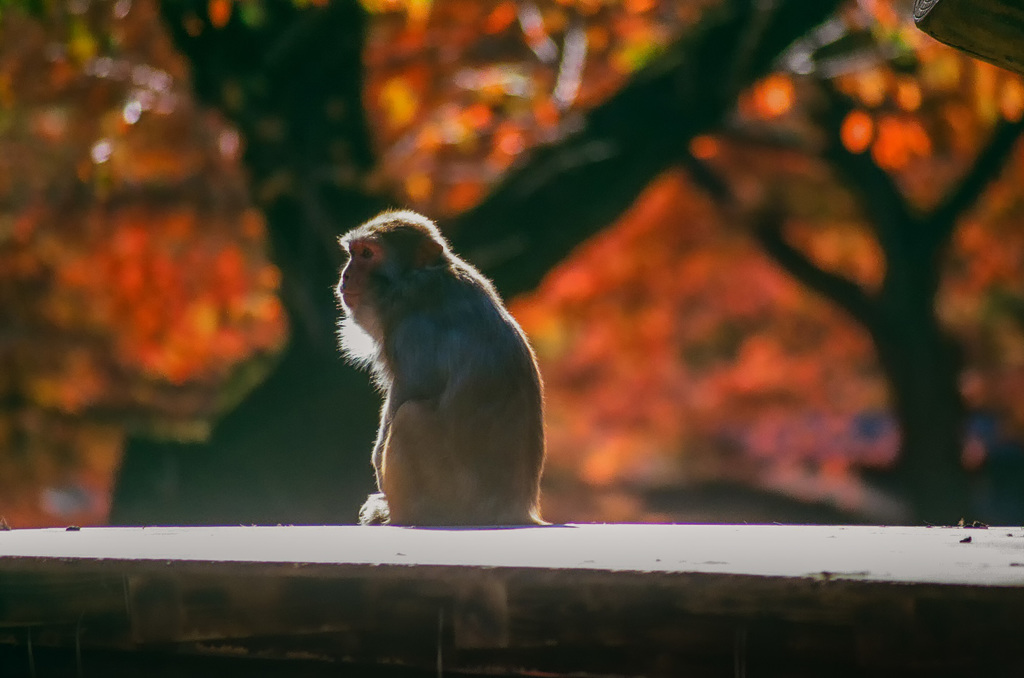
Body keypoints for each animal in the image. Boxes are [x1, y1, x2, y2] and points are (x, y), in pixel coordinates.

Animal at [333, 209, 544, 528]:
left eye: (368, 254)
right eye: (353, 253)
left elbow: (411, 388)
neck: (418, 276)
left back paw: (399, 514)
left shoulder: (411, 327)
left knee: (411, 415)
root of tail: (515, 508)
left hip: (453, 496)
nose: (346, 275)